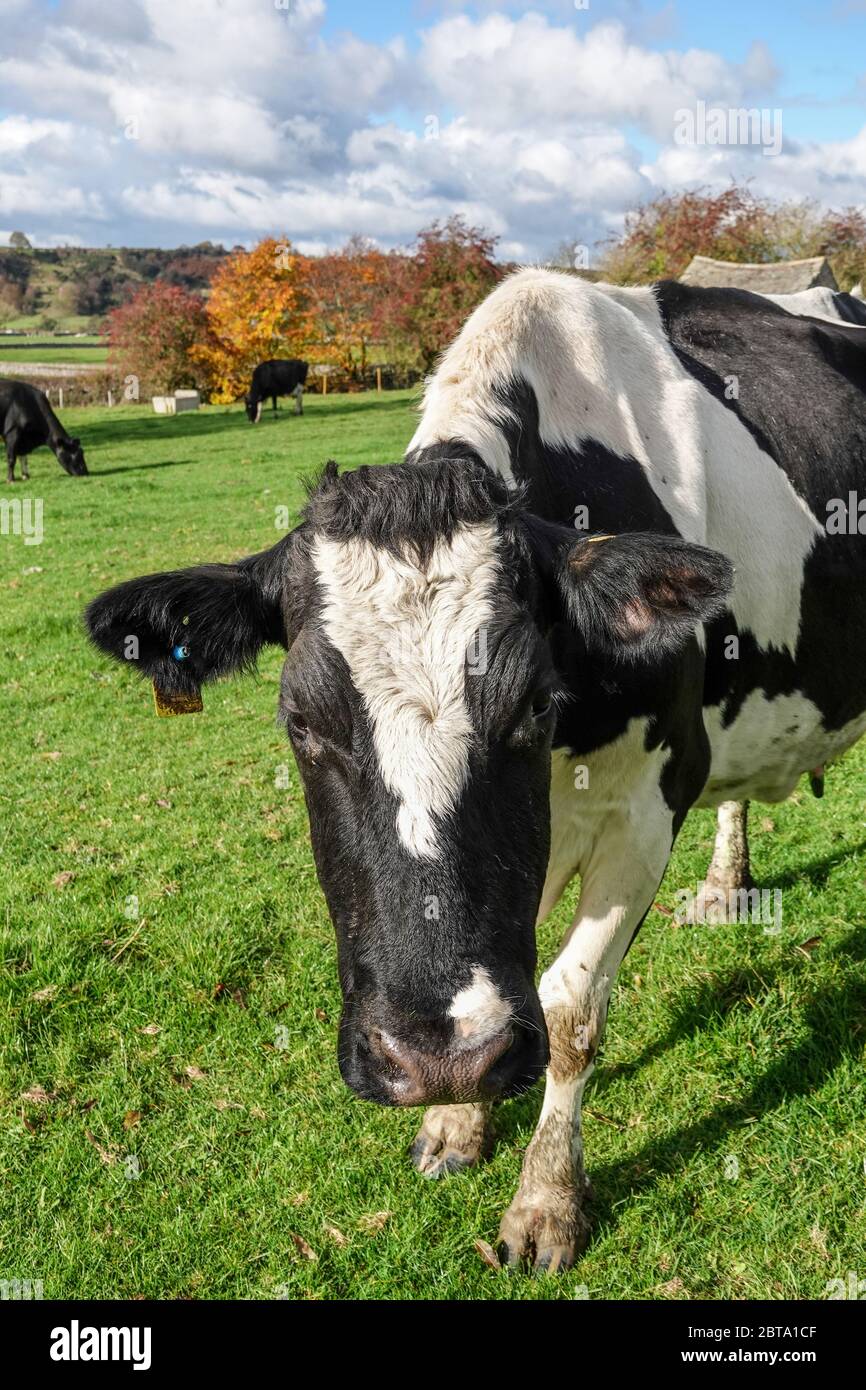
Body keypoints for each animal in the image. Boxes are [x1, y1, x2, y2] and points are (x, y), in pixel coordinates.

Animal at [84, 268, 866, 1273]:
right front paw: (458, 1117)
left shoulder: (653, 796)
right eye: (299, 722)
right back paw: (727, 888)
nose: (433, 1059)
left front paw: (546, 1200)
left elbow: (569, 1012)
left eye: (533, 702)